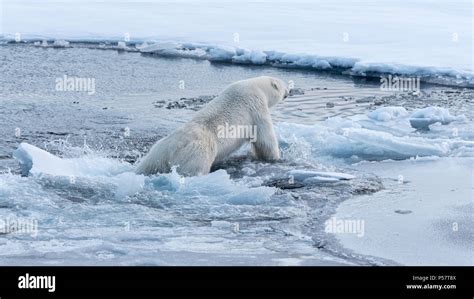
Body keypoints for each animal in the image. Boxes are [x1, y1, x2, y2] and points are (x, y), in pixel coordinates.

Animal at [134, 76, 288, 177]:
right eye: (283, 85)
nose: (289, 91)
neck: (256, 86)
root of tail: (171, 149)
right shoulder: (256, 107)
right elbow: (264, 138)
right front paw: (275, 158)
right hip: (197, 155)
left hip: (156, 154)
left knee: (148, 166)